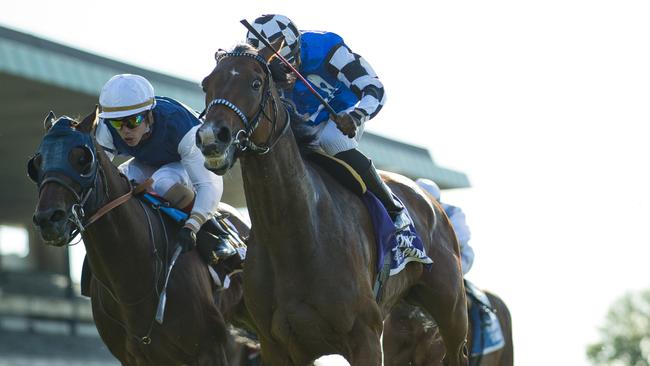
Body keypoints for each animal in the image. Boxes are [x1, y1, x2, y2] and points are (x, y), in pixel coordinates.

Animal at [195, 45, 468, 366]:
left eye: (255, 83)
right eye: (206, 84)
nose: (212, 136)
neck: (294, 237)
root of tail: (431, 201)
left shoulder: (365, 337)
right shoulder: (277, 345)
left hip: (452, 312)